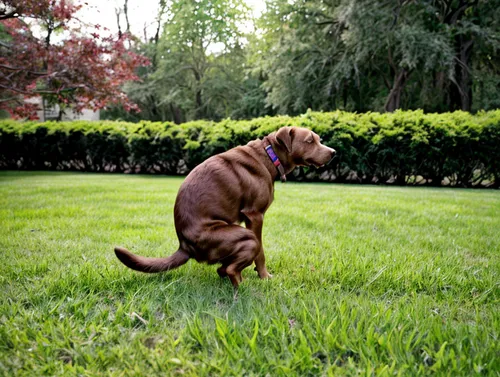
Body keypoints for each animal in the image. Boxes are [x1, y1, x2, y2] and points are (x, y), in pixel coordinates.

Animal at [114, 128, 336, 286]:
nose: (334, 152)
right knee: (231, 269)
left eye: (318, 139)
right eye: (309, 140)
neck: (269, 155)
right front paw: (264, 276)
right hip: (246, 237)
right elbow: (262, 253)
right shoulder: (255, 215)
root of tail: (184, 245)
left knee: (222, 269)